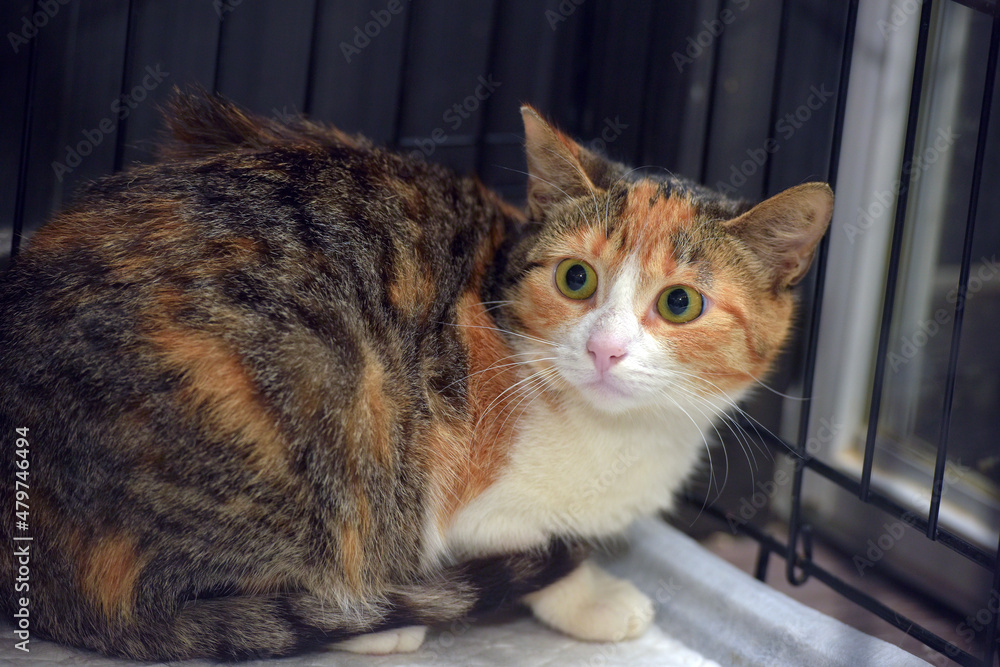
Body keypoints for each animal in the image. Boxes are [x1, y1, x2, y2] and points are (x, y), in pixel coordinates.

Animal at [0, 90, 833, 660]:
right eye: (576, 278)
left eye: (680, 302)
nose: (605, 350)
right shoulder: (464, 488)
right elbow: (536, 542)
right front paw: (589, 593)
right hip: (318, 395)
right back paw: (366, 621)